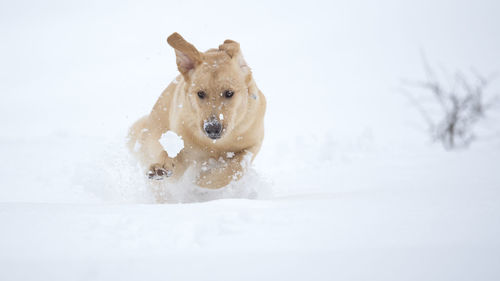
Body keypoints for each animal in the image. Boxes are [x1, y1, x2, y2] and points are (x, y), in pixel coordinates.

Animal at [128, 32, 266, 188]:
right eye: (200, 93)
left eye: (229, 93)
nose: (212, 128)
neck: (216, 145)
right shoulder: (183, 147)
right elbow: (171, 156)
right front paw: (161, 166)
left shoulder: (253, 143)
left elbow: (237, 166)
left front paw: (206, 179)